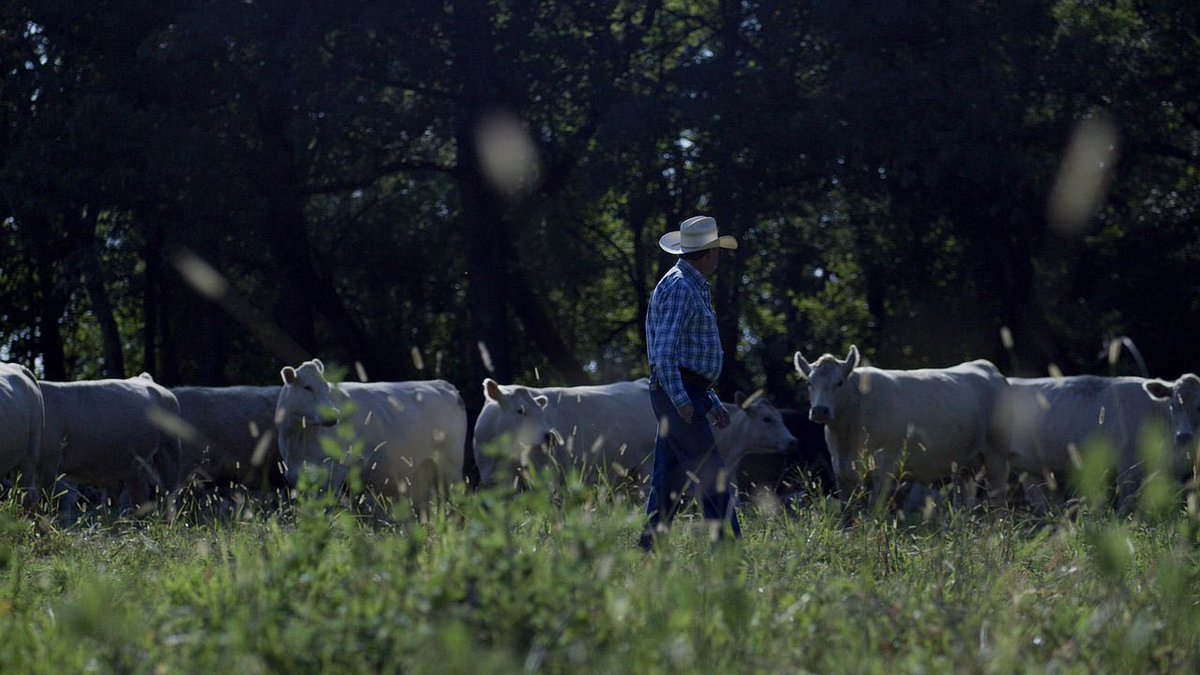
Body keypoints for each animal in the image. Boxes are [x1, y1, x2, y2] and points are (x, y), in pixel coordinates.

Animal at [39, 374, 183, 508]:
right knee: (130, 497)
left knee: (167, 493)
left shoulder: (50, 465)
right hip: (127, 466)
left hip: (169, 451)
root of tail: (144, 378)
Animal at [274, 359, 466, 506]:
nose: (333, 416)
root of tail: (441, 384)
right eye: (307, 387)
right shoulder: (297, 475)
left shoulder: (335, 470)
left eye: (326, 388)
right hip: (424, 472)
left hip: (450, 465)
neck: (297, 441)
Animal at [794, 345, 1010, 514]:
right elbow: (847, 517)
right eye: (809, 383)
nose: (820, 410)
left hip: (997, 458)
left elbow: (873, 514)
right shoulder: (842, 472)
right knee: (964, 503)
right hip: (965, 466)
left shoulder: (884, 471)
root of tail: (988, 368)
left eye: (839, 382)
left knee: (998, 502)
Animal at [1005, 375, 1192, 513]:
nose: (1184, 436)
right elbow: (1127, 504)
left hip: (1031, 470)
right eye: (1173, 405)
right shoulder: (1128, 466)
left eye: (1197, 408)